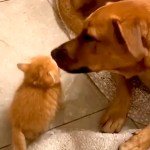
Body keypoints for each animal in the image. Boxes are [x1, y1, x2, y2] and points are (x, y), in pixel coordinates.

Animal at [51, 0, 150, 149]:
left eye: (90, 37)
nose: (53, 53)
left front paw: (136, 143)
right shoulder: (113, 66)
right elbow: (125, 86)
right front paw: (116, 115)